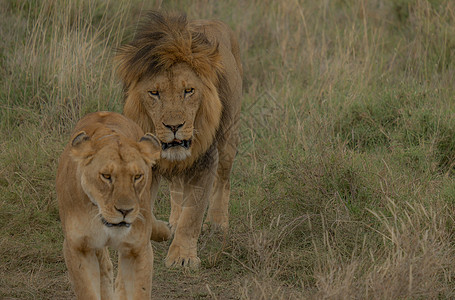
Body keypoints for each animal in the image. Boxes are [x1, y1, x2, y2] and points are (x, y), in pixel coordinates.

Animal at [56, 111, 170, 298]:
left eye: (137, 176)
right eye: (106, 176)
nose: (125, 211)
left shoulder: (138, 248)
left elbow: (140, 291)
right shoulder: (77, 247)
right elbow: (87, 291)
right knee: (104, 268)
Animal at [116, 12, 242, 268]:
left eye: (189, 91)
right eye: (154, 93)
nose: (174, 127)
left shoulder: (205, 161)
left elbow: (192, 215)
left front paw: (182, 257)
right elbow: (144, 208)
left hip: (228, 138)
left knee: (223, 181)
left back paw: (217, 223)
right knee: (176, 188)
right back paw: (173, 221)